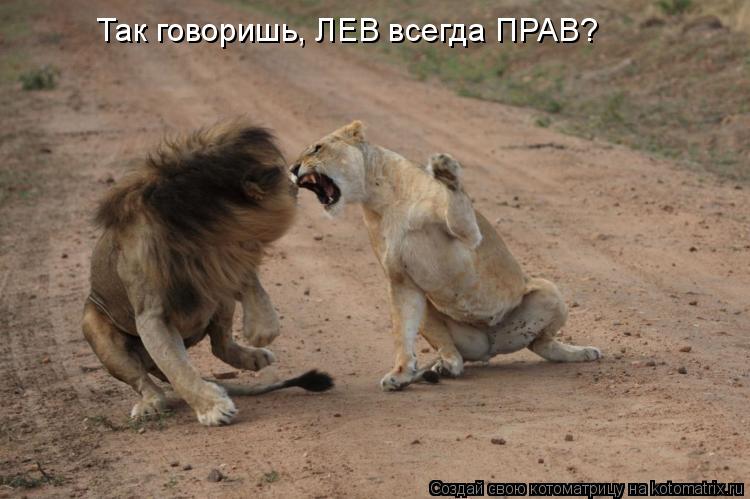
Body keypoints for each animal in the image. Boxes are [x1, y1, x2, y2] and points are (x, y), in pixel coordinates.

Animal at [82, 120, 332, 426]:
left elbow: (251, 283)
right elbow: (179, 371)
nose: (294, 177)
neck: (200, 235)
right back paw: (151, 403)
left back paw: (255, 357)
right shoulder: (151, 316)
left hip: (219, 303)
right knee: (144, 378)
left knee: (219, 344)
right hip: (95, 327)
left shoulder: (224, 262)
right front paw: (213, 408)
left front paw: (261, 328)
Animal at [290, 121, 601, 391]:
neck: (381, 199)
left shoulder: (469, 235)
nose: (292, 169)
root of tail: (494, 346)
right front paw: (400, 374)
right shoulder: (401, 280)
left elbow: (455, 198)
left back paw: (582, 352)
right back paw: (444, 366)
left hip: (549, 290)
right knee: (457, 352)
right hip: (436, 312)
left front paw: (445, 170)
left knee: (542, 342)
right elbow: (402, 332)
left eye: (316, 148)